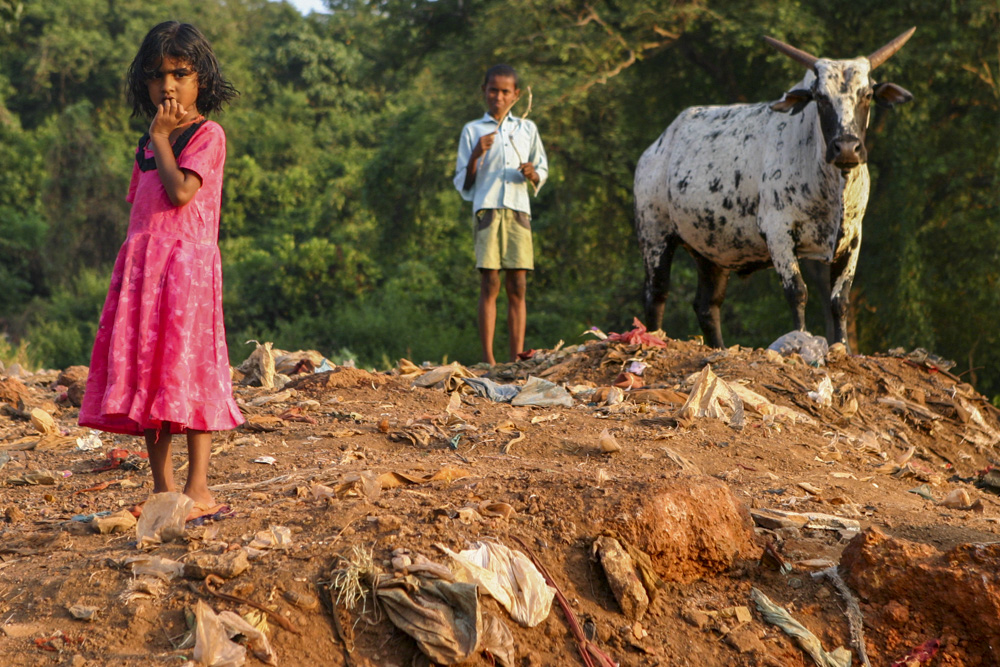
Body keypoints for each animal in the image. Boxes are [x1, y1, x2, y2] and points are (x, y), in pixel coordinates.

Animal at [636, 28, 916, 352]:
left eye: (867, 94)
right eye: (820, 97)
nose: (846, 148)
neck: (831, 188)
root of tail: (658, 146)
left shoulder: (853, 237)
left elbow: (839, 300)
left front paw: (842, 348)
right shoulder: (779, 232)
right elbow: (798, 292)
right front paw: (800, 339)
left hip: (711, 250)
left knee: (707, 305)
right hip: (655, 235)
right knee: (656, 294)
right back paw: (652, 339)